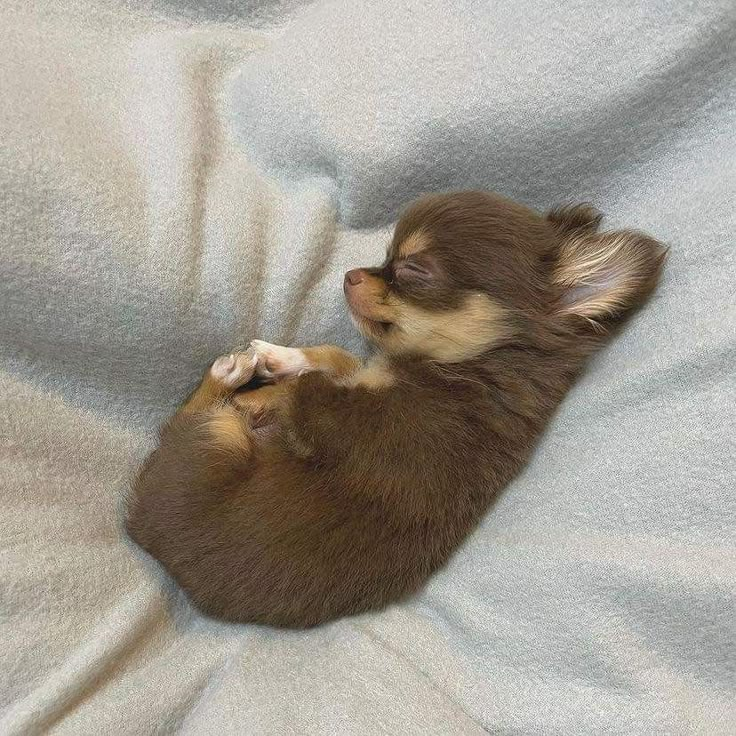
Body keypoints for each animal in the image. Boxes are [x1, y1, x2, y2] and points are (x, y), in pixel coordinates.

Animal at [126, 190, 668, 628]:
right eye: (386, 256)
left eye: (412, 270)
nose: (349, 274)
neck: (467, 367)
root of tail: (140, 531)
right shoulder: (363, 376)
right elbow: (335, 358)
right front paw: (282, 358)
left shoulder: (371, 425)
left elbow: (312, 390)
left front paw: (268, 392)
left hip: (219, 436)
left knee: (194, 419)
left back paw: (229, 377)